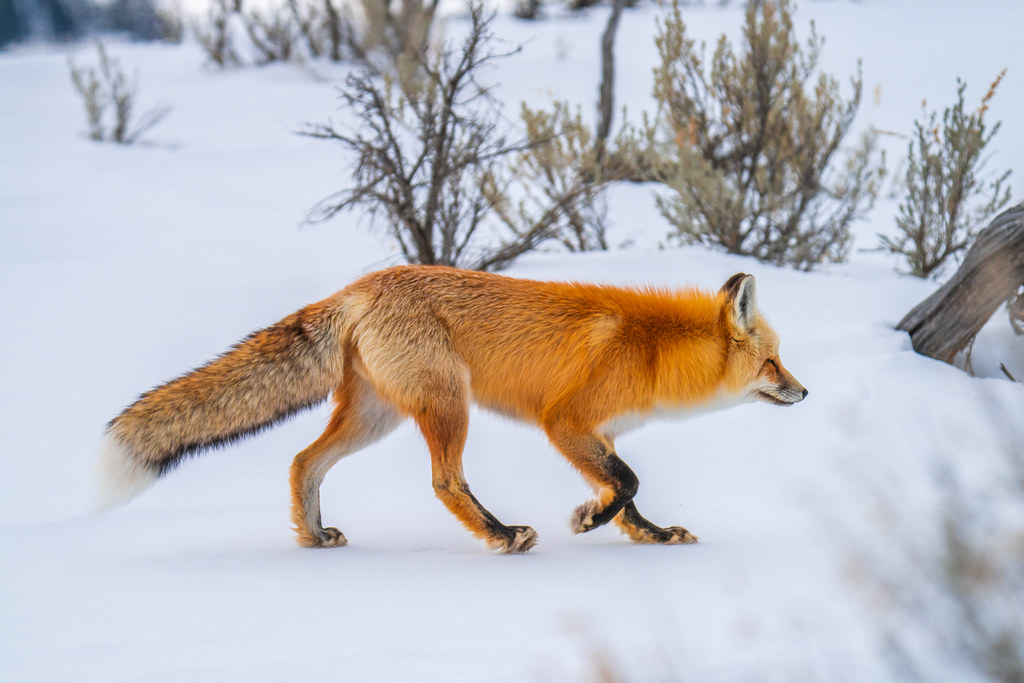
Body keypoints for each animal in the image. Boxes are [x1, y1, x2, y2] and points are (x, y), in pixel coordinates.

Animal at [97, 265, 806, 553]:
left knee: (303, 461)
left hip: (375, 418)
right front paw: (588, 521)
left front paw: (648, 535)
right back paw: (501, 535)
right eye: (773, 363)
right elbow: (628, 481)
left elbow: (628, 492)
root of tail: (360, 286)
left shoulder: (596, 434)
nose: (804, 393)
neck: (653, 349)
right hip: (447, 405)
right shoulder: (567, 423)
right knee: (444, 481)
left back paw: (314, 537)